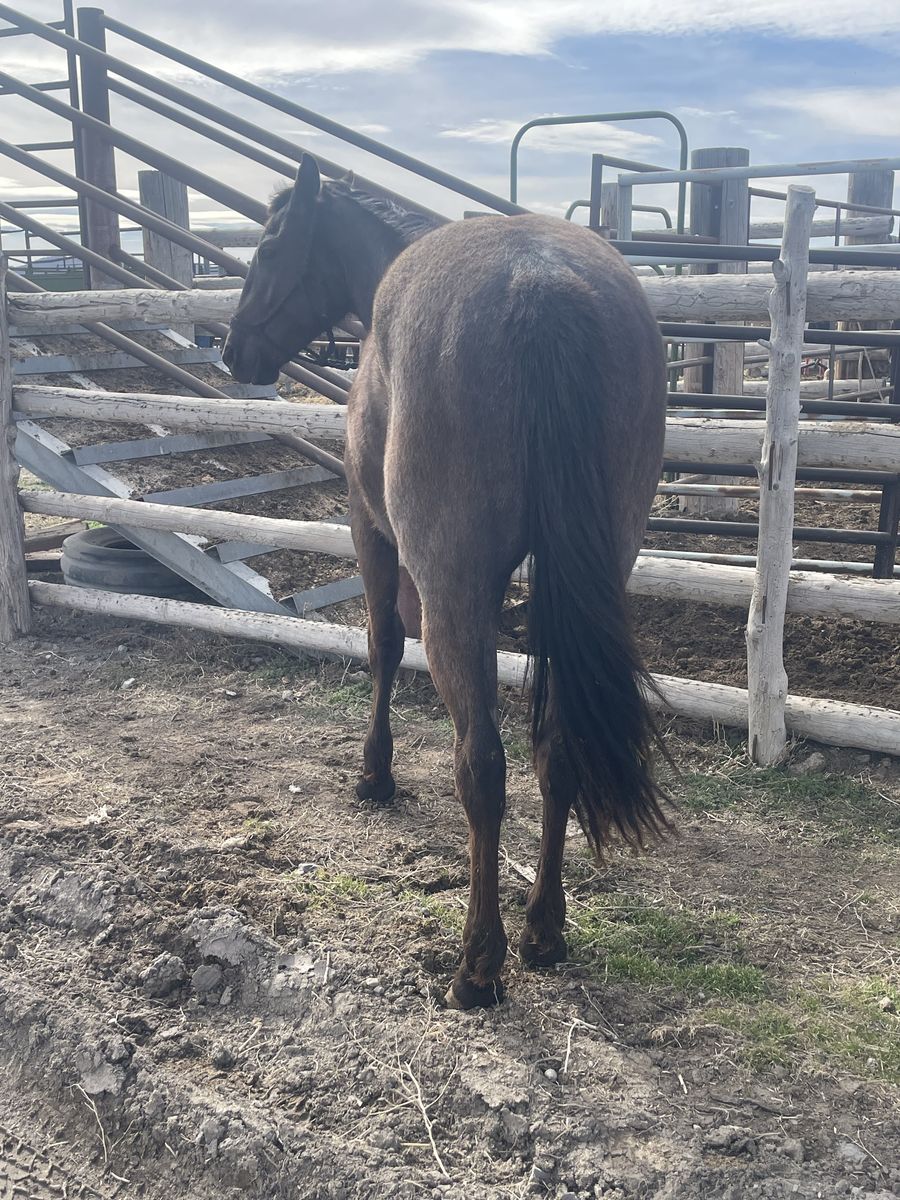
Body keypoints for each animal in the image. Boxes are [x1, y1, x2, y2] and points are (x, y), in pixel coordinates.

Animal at [223, 155, 669, 1009]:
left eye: (267, 247)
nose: (233, 352)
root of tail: (543, 286)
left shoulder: (370, 530)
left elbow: (383, 645)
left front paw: (374, 773)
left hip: (452, 589)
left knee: (482, 765)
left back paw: (478, 963)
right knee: (555, 746)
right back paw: (544, 929)